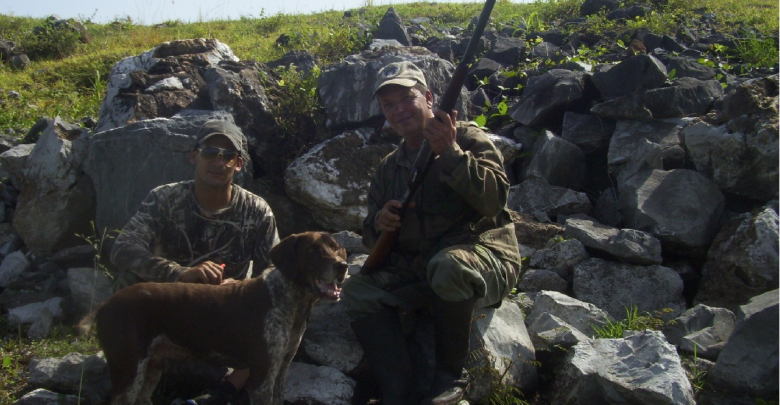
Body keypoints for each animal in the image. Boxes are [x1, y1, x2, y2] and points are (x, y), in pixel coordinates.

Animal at [87, 230, 348, 404]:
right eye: (312, 251)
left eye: (335, 247)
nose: (343, 265)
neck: (290, 303)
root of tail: (105, 304)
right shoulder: (262, 378)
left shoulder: (281, 369)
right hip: (129, 373)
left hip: (150, 369)